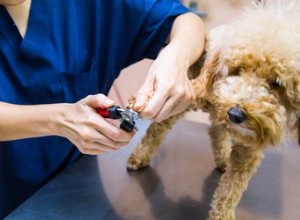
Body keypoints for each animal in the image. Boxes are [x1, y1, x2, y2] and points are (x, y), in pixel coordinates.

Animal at [126, 0, 298, 219]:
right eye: (237, 69)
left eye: (277, 83)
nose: (235, 114)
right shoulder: (199, 91)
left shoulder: (248, 151)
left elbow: (230, 191)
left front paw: (222, 215)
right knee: (161, 127)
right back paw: (140, 156)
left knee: (215, 130)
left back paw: (223, 158)